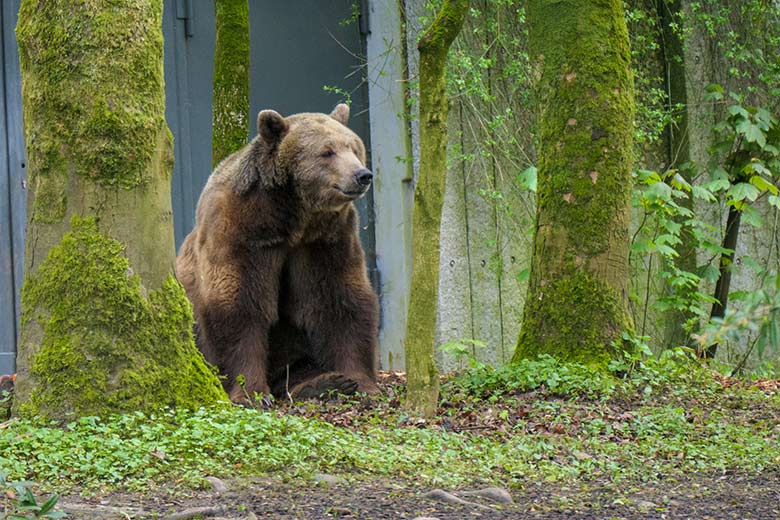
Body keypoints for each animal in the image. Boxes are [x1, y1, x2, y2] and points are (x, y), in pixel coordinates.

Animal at [177, 102, 384, 402]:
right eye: (327, 151)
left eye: (354, 148)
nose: (362, 175)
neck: (291, 218)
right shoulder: (241, 237)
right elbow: (239, 306)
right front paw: (251, 392)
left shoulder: (325, 241)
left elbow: (341, 300)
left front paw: (360, 381)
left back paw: (321, 382)